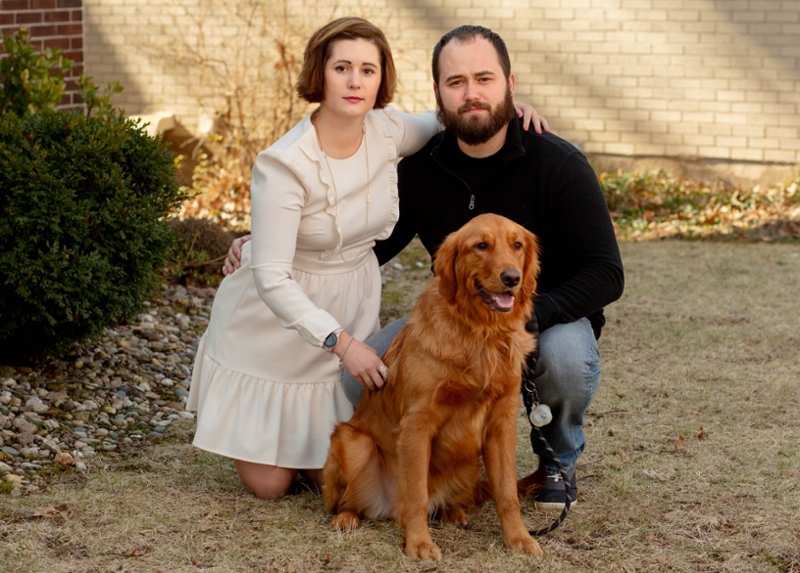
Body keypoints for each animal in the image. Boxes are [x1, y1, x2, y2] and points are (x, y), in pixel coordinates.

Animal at [322, 213, 540, 560]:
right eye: (481, 245)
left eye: (517, 245)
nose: (512, 278)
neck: (480, 334)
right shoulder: (417, 423)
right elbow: (416, 495)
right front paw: (419, 543)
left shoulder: (502, 423)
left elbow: (507, 493)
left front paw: (519, 538)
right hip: (352, 441)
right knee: (348, 501)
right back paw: (347, 517)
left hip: (469, 462)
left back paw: (454, 511)